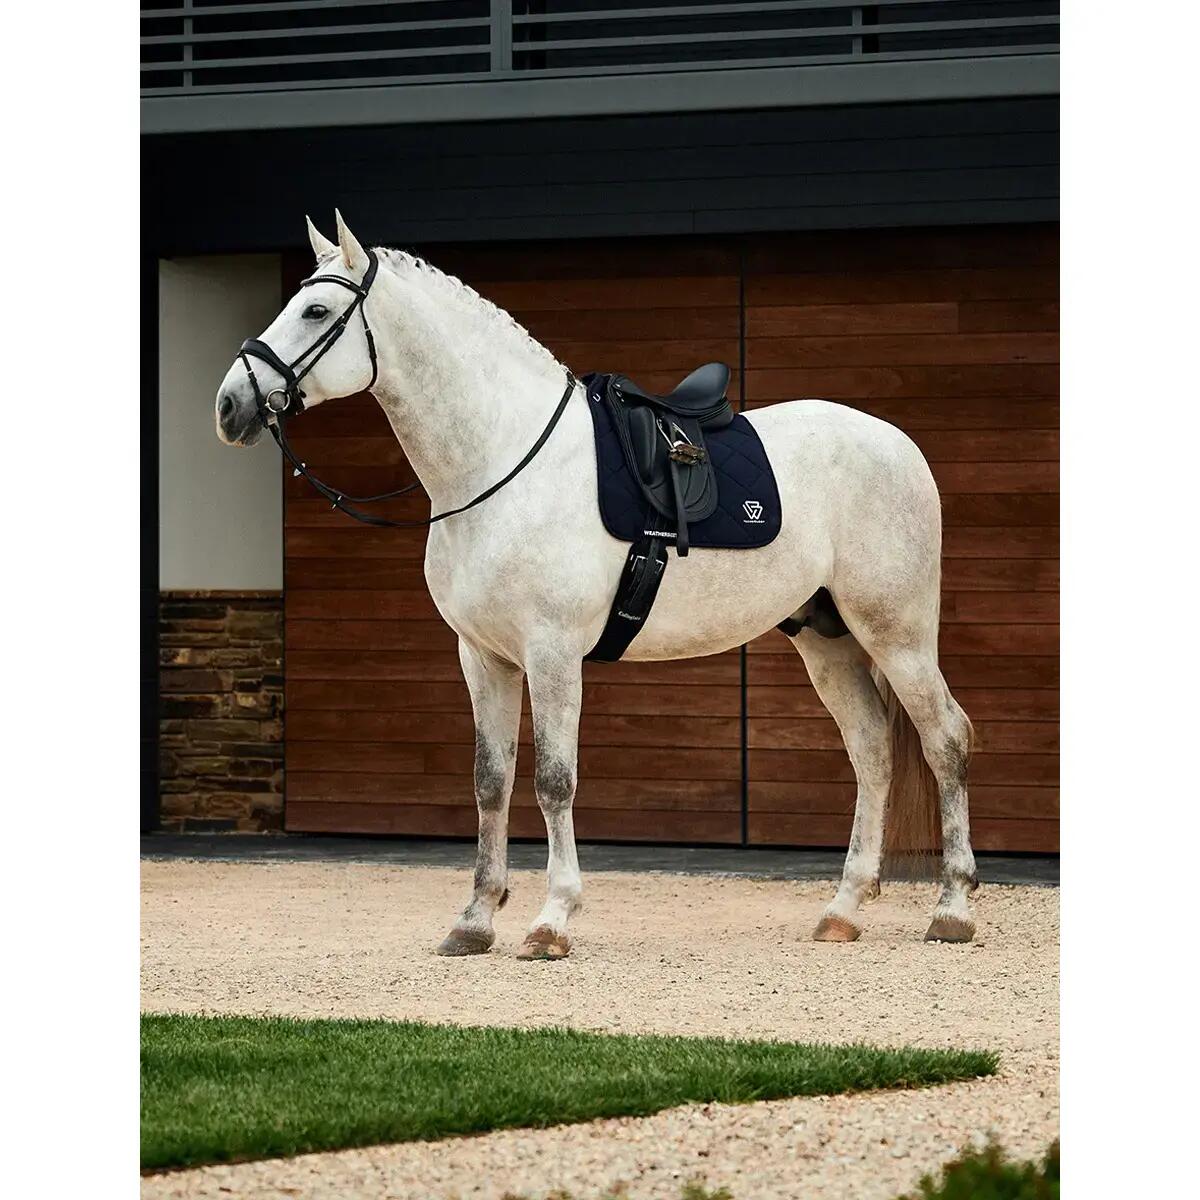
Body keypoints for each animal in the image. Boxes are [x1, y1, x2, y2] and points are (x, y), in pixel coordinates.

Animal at [216, 212, 978, 960]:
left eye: (316, 310)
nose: (229, 406)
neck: (502, 463)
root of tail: (900, 445)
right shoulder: (483, 657)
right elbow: (490, 782)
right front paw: (474, 920)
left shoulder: (552, 653)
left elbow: (554, 781)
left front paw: (552, 920)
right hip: (826, 638)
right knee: (873, 749)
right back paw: (843, 909)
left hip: (896, 635)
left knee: (945, 738)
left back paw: (953, 907)